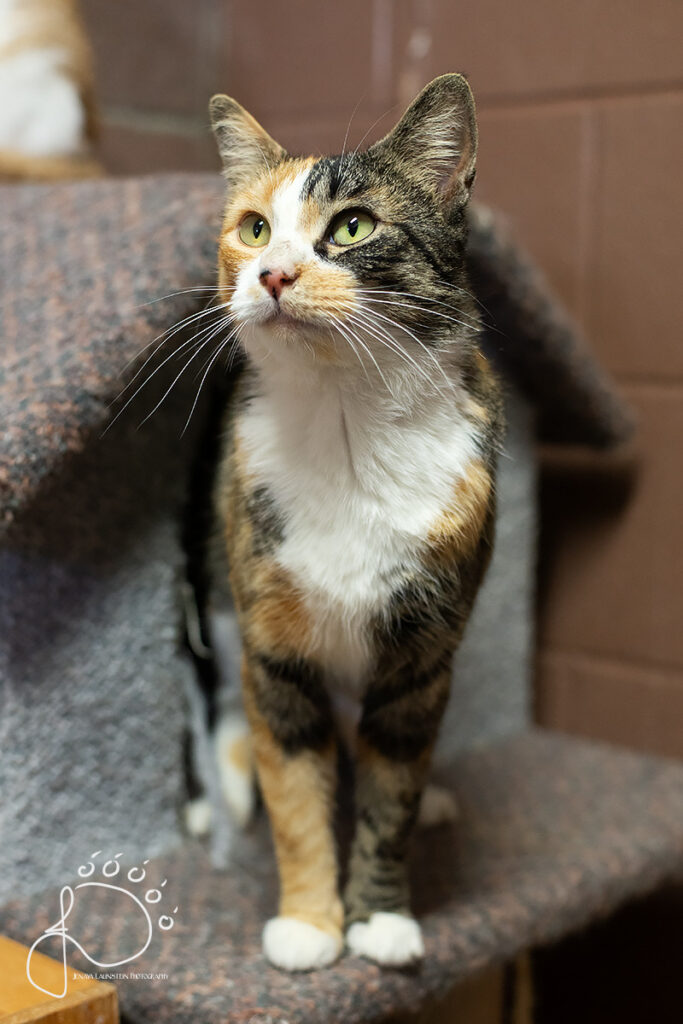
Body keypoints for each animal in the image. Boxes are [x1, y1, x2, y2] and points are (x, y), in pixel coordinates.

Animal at [193, 73, 503, 971]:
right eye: (253, 227)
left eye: (354, 225)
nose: (272, 274)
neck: (345, 426)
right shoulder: (272, 647)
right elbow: (295, 794)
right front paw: (307, 925)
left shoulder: (421, 658)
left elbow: (389, 795)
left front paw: (381, 920)